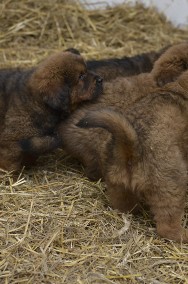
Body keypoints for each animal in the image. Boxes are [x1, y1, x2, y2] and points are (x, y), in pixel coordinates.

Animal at [77, 70, 188, 242]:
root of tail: (130, 147)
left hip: (117, 184)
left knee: (123, 206)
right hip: (171, 184)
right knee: (166, 226)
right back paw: (184, 235)